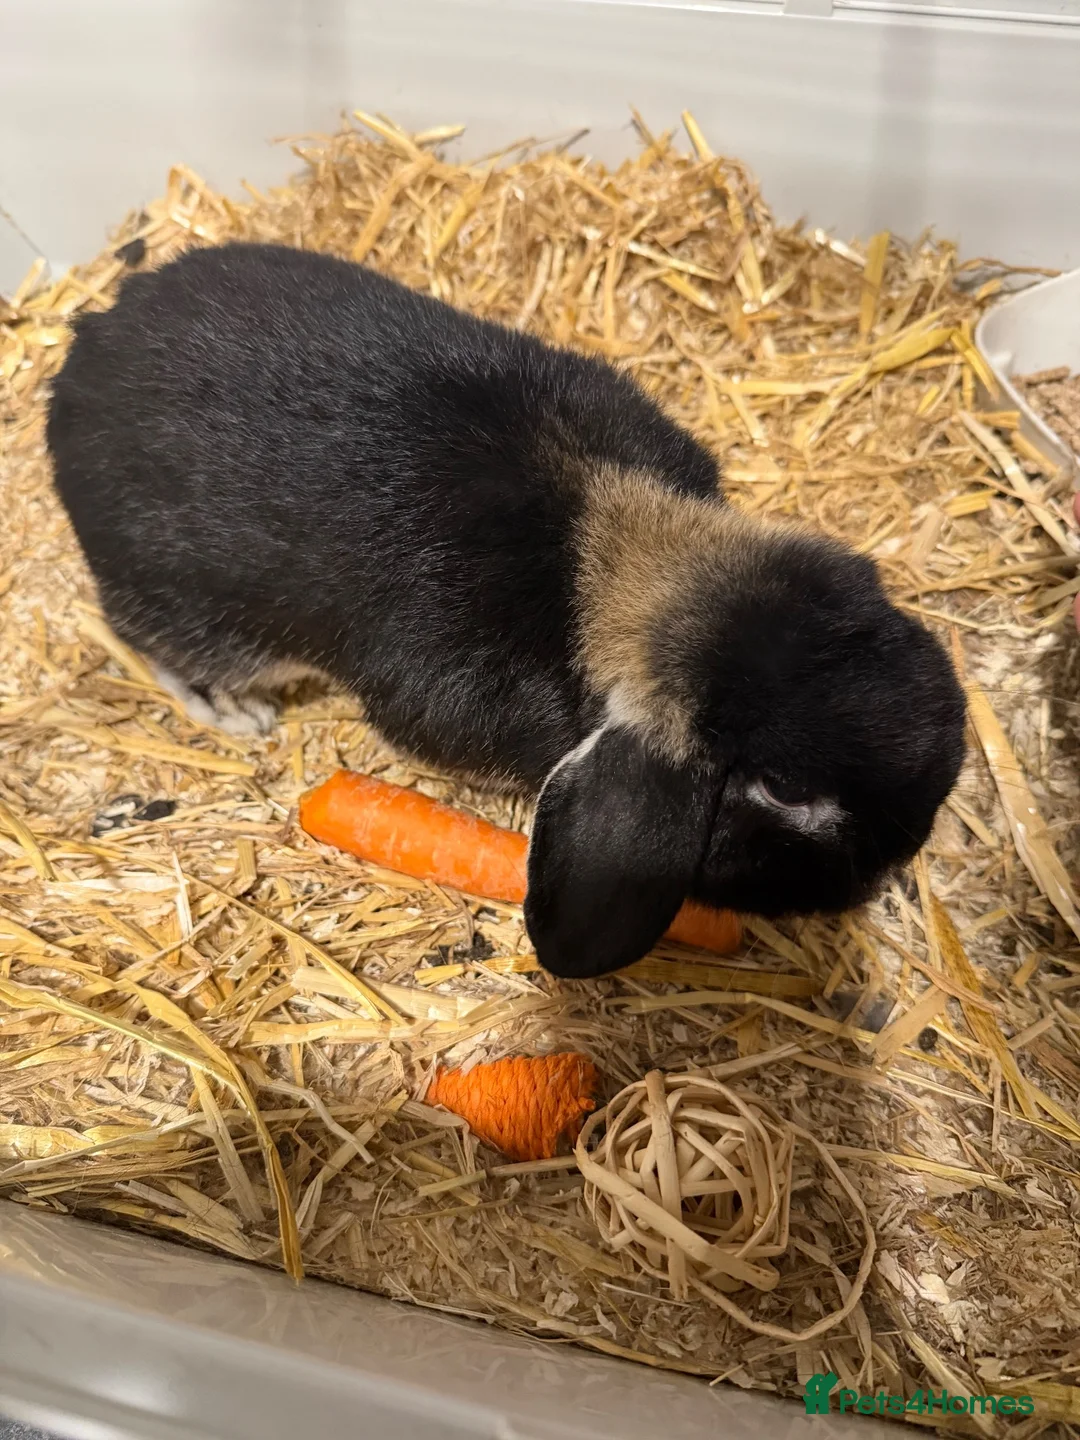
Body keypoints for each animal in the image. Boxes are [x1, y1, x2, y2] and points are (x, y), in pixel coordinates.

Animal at [47, 242, 966, 979]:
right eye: (783, 793)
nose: (904, 853)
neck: (615, 559)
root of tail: (82, 364)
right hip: (198, 613)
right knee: (152, 643)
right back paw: (237, 714)